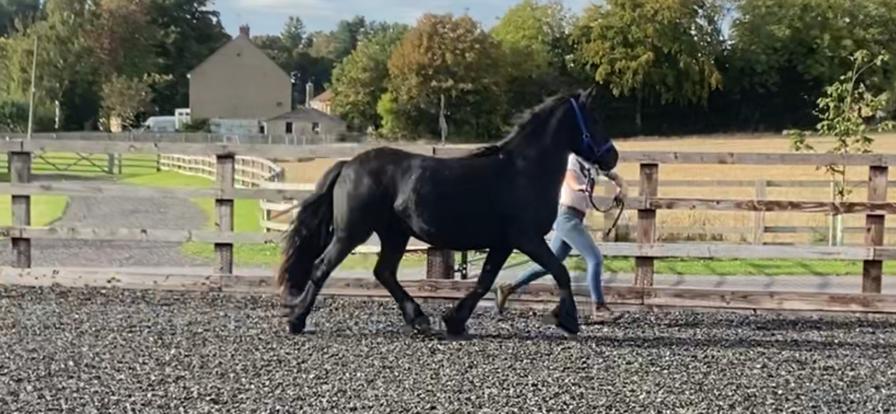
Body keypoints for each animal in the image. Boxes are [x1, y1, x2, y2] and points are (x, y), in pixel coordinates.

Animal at [276, 86, 620, 336]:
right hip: (351, 233)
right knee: (321, 268)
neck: (522, 171)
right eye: (595, 119)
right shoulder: (526, 238)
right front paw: (568, 320)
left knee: (384, 272)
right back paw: (297, 321)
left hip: (394, 234)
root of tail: (348, 165)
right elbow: (559, 271)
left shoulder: (503, 243)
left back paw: (419, 319)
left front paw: (455, 320)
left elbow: (484, 281)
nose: (612, 157)